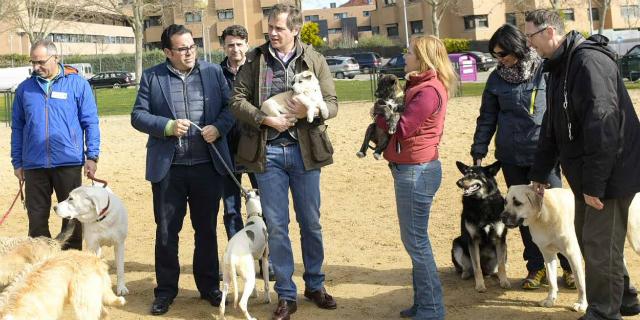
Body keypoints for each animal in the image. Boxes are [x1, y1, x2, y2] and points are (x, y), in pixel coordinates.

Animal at [220, 190, 270, 320]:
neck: (254, 216)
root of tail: (231, 256)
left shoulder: (252, 260)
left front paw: (255, 294)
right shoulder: (265, 258)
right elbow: (266, 283)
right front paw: (267, 299)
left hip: (227, 278)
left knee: (221, 304)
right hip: (248, 277)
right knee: (242, 303)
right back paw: (251, 318)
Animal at [450, 162, 510, 292]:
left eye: (473, 174)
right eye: (464, 173)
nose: (458, 182)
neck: (482, 202)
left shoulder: (500, 239)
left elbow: (501, 265)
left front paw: (504, 281)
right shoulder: (473, 240)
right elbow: (476, 267)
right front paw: (480, 285)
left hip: (505, 248)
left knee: (498, 266)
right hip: (457, 244)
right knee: (468, 267)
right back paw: (466, 273)